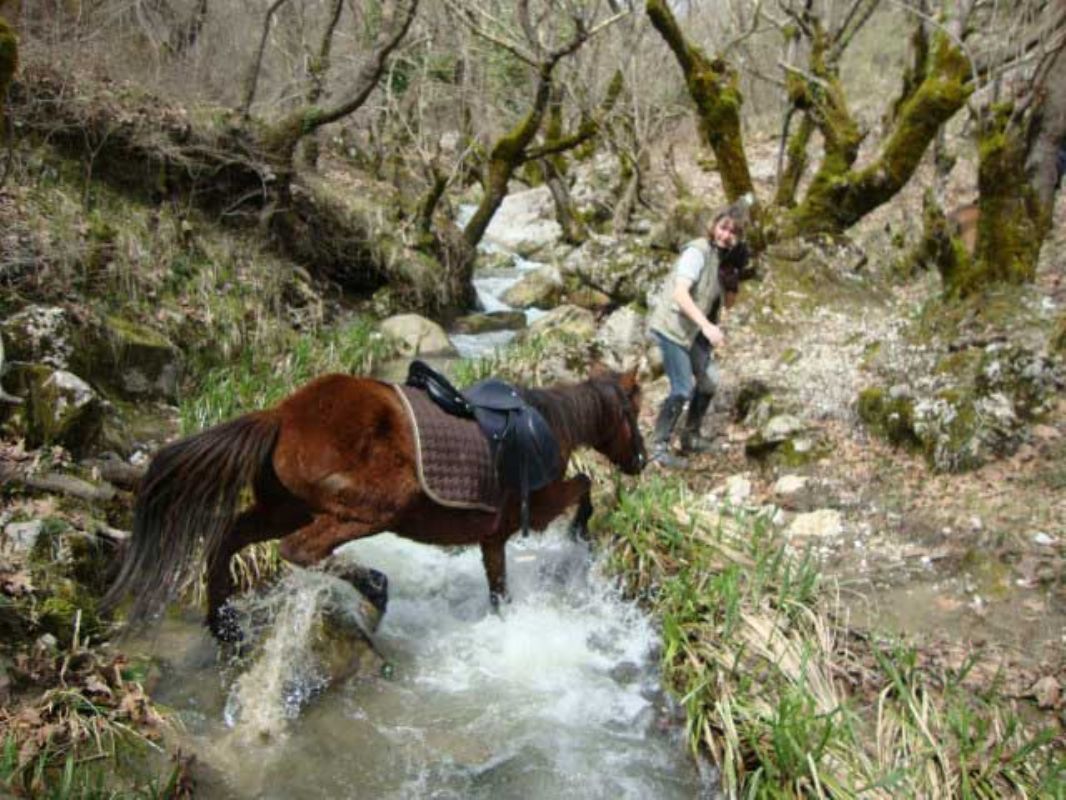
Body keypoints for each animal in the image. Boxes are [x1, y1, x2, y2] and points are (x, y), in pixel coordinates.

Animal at [101, 367, 646, 642]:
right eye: (633, 411)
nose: (641, 460)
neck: (547, 426)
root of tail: (281, 415)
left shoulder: (492, 538)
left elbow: (498, 588)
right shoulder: (535, 504)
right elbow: (582, 485)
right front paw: (580, 534)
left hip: (285, 507)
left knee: (228, 540)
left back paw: (223, 624)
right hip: (371, 509)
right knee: (300, 551)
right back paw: (374, 588)